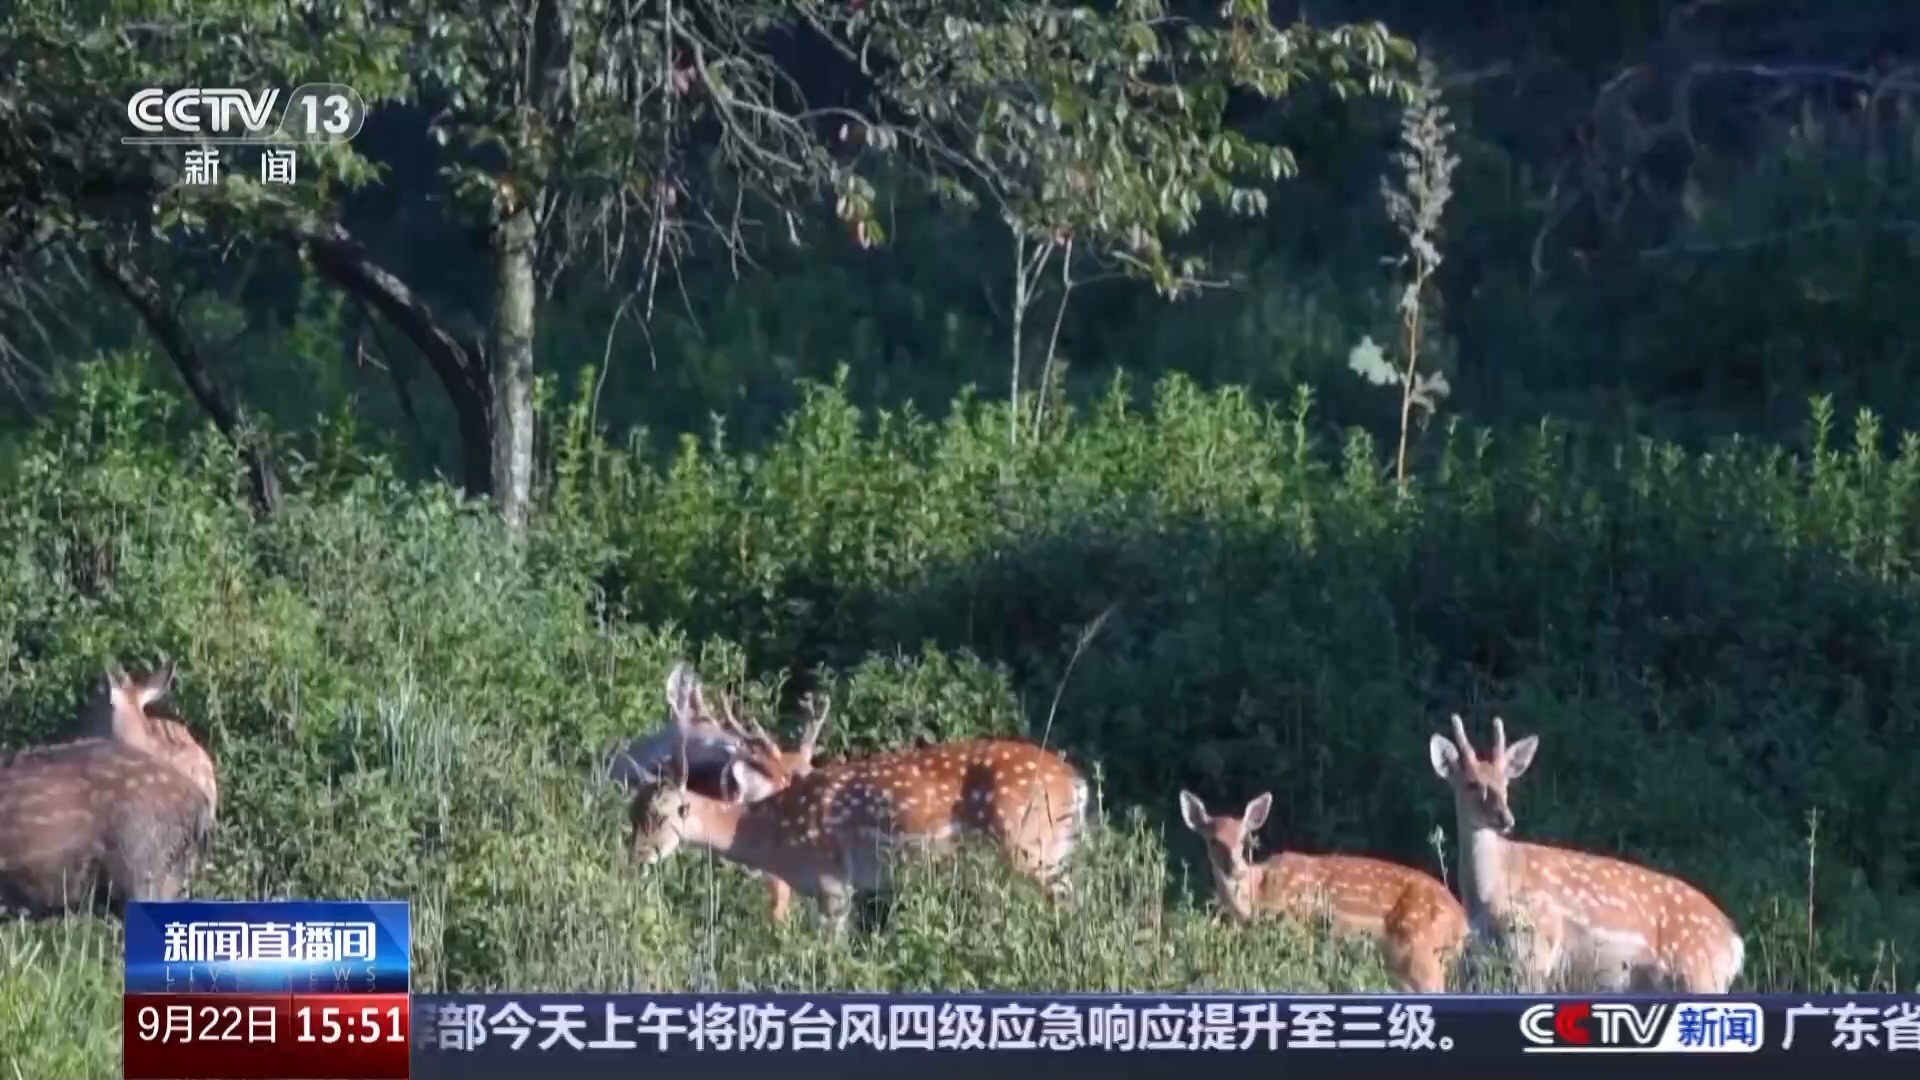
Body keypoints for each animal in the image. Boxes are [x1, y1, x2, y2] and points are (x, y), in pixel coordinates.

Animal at [628, 732, 1090, 933]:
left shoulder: (833, 880)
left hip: (1029, 844)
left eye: (664, 814)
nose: (639, 855)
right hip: (1056, 846)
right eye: (631, 812)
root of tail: (1078, 785)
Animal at [1178, 790, 1468, 993]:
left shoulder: (1298, 926)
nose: (1236, 868)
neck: (1258, 893)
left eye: (1244, 840)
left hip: (1420, 952)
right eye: (1213, 840)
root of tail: (1462, 920)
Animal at [1428, 714, 1745, 992]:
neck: (1488, 891)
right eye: (1471, 784)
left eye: (1506, 783)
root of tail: (1734, 942)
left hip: (1697, 971)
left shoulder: (1537, 944)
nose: (1505, 819)